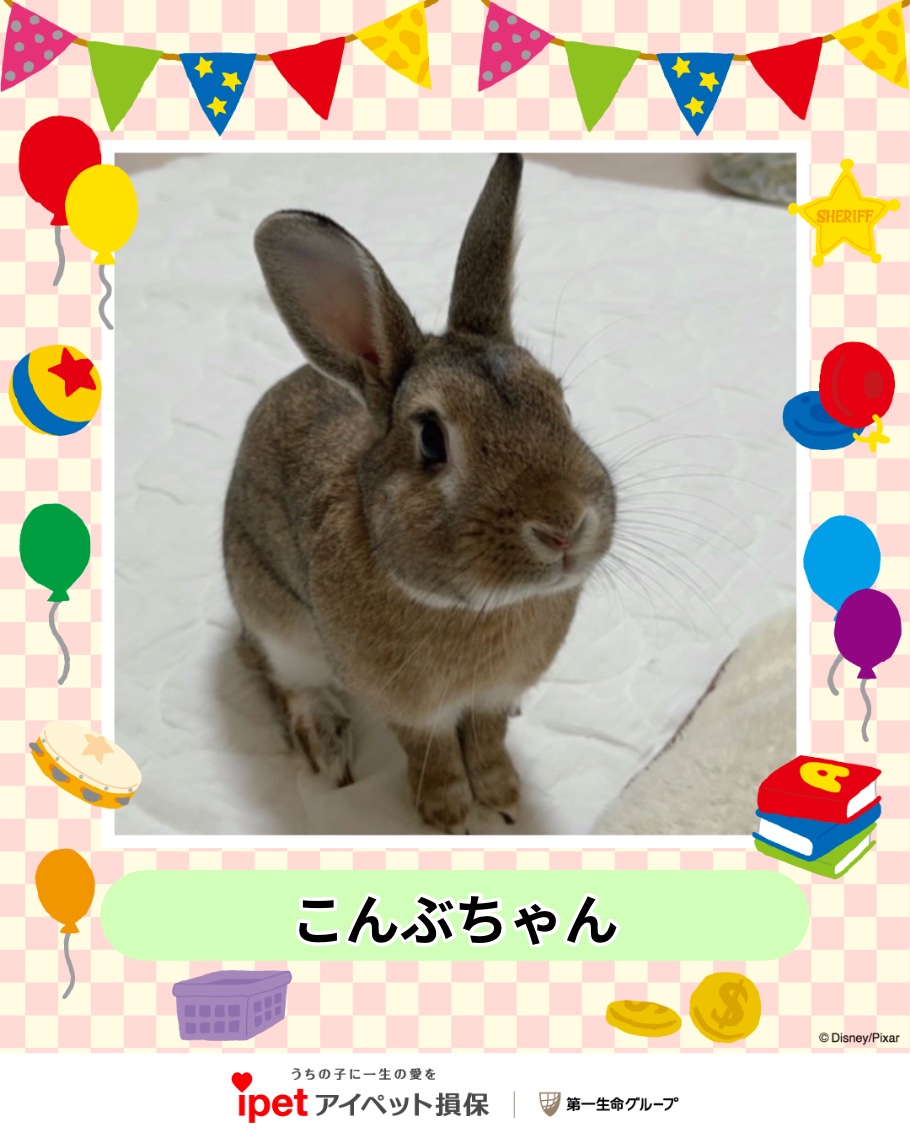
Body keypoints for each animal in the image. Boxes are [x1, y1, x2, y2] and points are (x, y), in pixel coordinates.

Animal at [223, 154, 615, 833]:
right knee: (280, 677)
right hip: (274, 620)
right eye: (432, 439)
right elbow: (429, 749)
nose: (565, 528)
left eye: (560, 402)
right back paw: (325, 745)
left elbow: (486, 735)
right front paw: (450, 814)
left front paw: (503, 798)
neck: (474, 607)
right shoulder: (406, 704)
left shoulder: (495, 693)